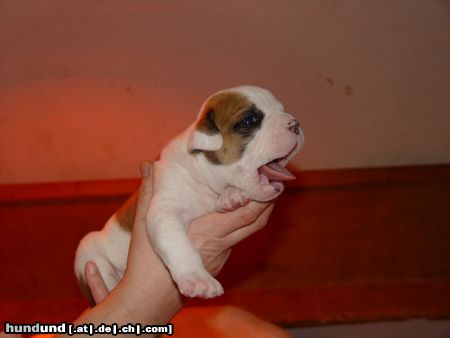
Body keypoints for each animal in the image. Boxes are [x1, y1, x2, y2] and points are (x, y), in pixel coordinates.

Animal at [75, 86, 304, 300]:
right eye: (250, 120)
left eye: (281, 109)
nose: (295, 124)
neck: (202, 174)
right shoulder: (166, 211)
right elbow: (179, 244)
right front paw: (197, 278)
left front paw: (232, 195)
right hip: (88, 250)